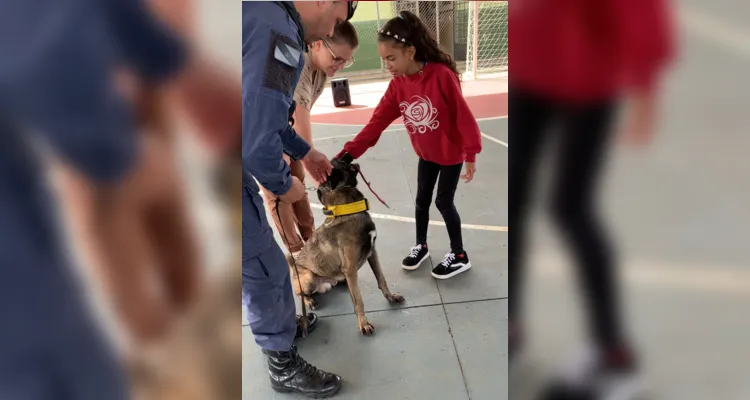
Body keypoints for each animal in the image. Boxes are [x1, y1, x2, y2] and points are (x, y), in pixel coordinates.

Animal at [288, 155, 406, 336]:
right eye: (337, 163)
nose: (345, 155)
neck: (348, 210)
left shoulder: (373, 253)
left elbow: (381, 279)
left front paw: (390, 296)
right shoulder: (350, 269)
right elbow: (358, 300)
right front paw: (363, 323)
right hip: (308, 278)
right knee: (300, 293)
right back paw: (309, 301)